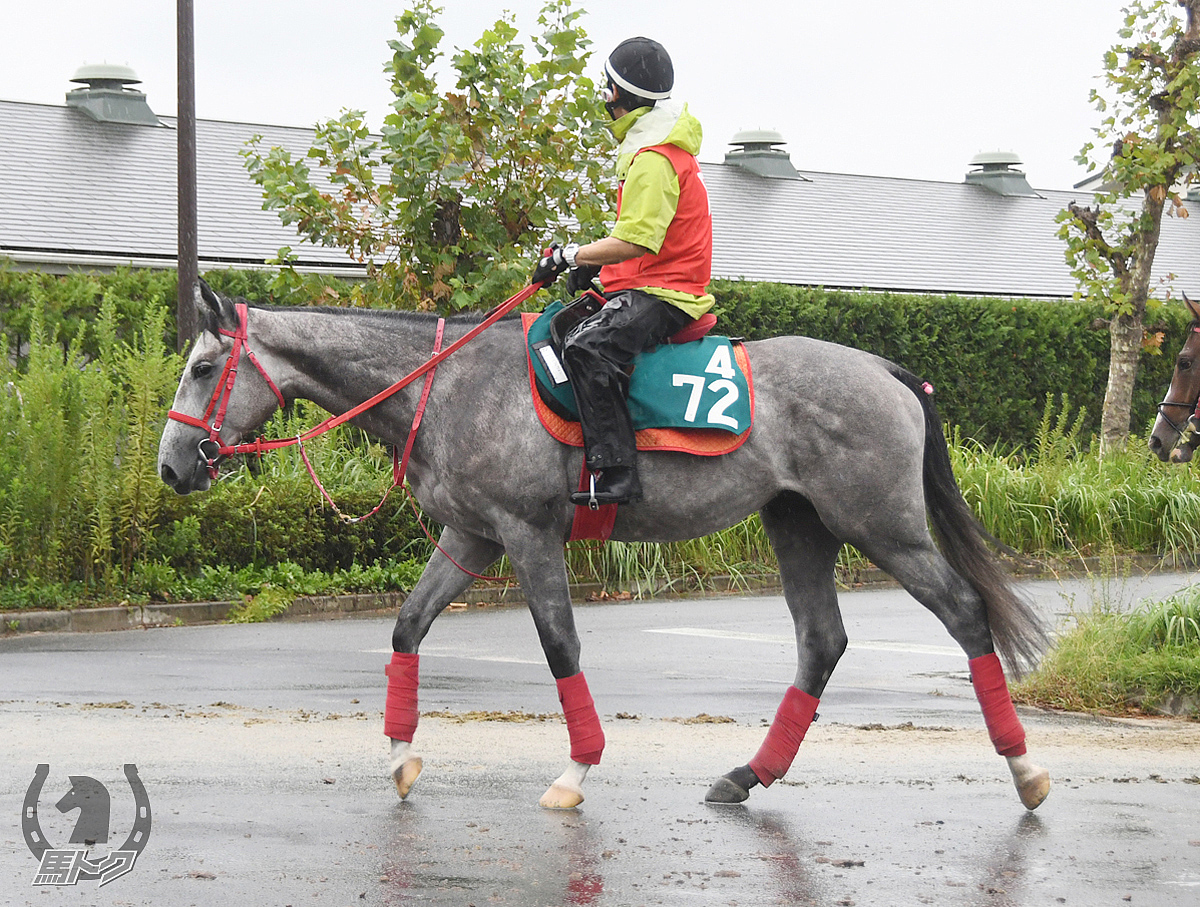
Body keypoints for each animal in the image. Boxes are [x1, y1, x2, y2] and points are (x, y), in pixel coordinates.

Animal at [159, 283, 1051, 806]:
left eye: (203, 367)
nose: (172, 465)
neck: (447, 382)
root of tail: (887, 370)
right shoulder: (470, 536)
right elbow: (407, 627)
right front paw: (402, 757)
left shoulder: (527, 535)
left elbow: (560, 645)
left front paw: (576, 769)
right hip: (799, 524)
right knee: (821, 642)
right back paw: (747, 773)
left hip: (882, 527)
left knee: (966, 613)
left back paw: (1025, 768)